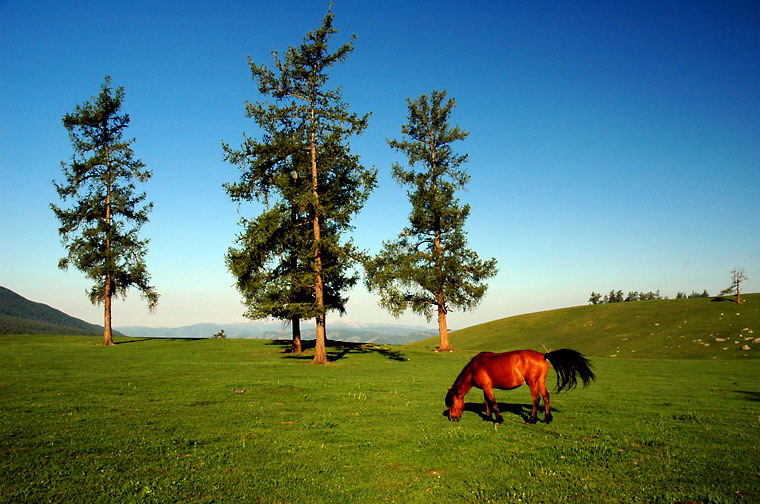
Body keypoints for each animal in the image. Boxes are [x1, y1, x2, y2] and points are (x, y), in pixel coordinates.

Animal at [446, 348, 592, 424]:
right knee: (546, 397)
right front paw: (487, 417)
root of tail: (542, 355)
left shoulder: (487, 387)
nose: (452, 419)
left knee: (536, 399)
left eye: (452, 403)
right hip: (540, 382)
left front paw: (499, 419)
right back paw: (547, 418)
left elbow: (493, 402)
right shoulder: (485, 388)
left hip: (532, 383)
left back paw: (532, 419)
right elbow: (487, 402)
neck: (475, 367)